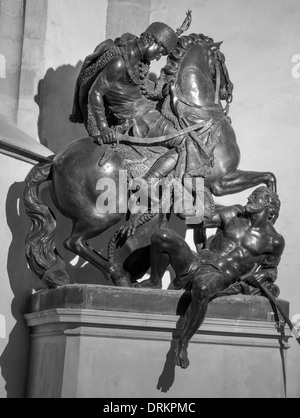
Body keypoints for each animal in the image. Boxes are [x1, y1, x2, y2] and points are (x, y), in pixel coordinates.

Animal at [23, 32, 276, 290]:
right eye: (222, 59)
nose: (229, 90)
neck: (201, 117)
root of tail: (56, 161)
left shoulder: (210, 186)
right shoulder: (221, 181)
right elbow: (268, 177)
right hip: (104, 212)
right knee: (73, 242)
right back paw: (119, 275)